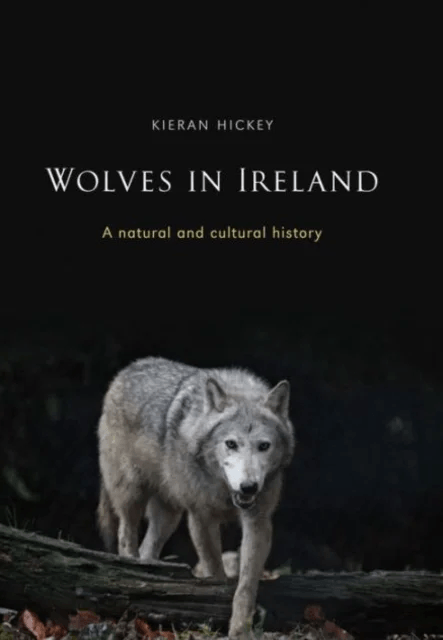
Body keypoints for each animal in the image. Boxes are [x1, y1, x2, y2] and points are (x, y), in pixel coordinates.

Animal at [97, 357, 295, 638]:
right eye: (231, 444)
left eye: (264, 446)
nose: (248, 487)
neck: (225, 491)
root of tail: (127, 369)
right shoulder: (201, 517)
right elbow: (216, 570)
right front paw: (214, 605)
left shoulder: (258, 521)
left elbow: (246, 585)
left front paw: (240, 629)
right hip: (131, 495)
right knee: (126, 536)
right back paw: (129, 572)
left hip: (168, 516)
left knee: (148, 548)